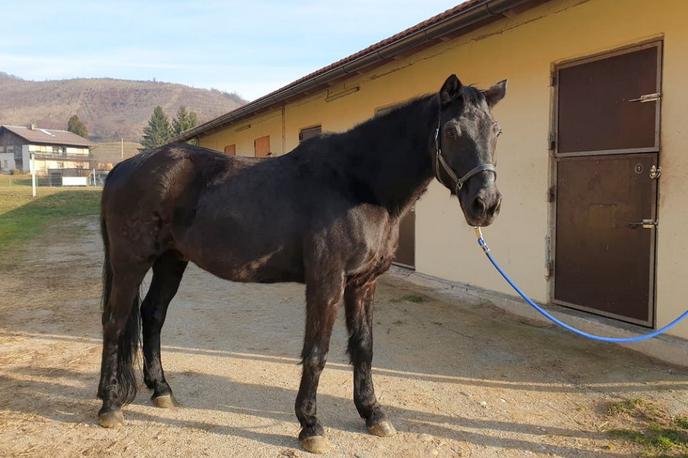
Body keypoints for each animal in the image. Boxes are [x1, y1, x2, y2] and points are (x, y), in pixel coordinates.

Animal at [97, 73, 506, 452]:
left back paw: (160, 390)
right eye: (451, 130)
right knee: (115, 322)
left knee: (152, 315)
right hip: (131, 261)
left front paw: (373, 413)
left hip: (171, 260)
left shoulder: (364, 282)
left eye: (496, 131)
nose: (485, 204)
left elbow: (364, 347)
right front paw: (311, 425)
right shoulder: (327, 280)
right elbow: (316, 352)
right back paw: (110, 405)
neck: (358, 183)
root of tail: (123, 168)